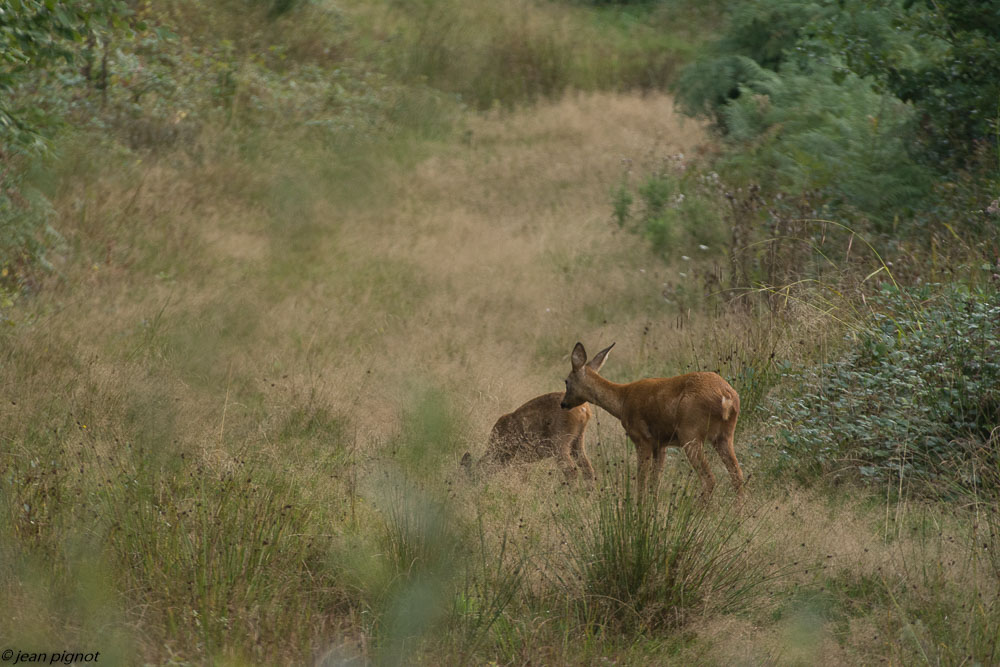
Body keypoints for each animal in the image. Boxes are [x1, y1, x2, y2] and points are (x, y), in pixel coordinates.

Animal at [460, 392, 592, 480]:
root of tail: (584, 409)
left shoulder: (518, 458)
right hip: (578, 440)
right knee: (588, 469)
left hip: (560, 442)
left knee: (571, 471)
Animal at [560, 342, 748, 498]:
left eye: (566, 381)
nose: (563, 403)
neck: (622, 401)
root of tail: (726, 397)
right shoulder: (661, 443)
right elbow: (654, 482)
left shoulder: (642, 438)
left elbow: (642, 481)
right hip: (725, 435)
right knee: (738, 476)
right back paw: (738, 514)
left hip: (690, 432)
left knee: (709, 479)